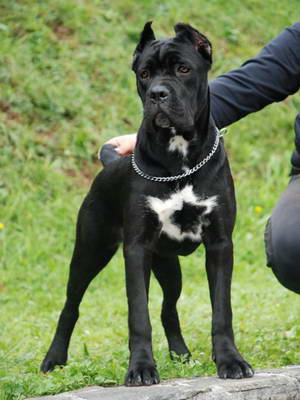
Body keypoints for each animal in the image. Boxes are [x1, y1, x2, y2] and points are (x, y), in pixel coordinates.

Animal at [41, 21, 254, 384]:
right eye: (144, 74)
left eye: (183, 69)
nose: (157, 94)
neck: (179, 159)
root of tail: (110, 162)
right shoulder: (137, 248)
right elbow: (138, 314)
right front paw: (140, 367)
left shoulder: (220, 245)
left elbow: (221, 310)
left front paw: (230, 360)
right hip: (89, 253)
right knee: (71, 307)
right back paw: (54, 359)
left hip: (168, 267)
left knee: (168, 308)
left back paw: (181, 354)